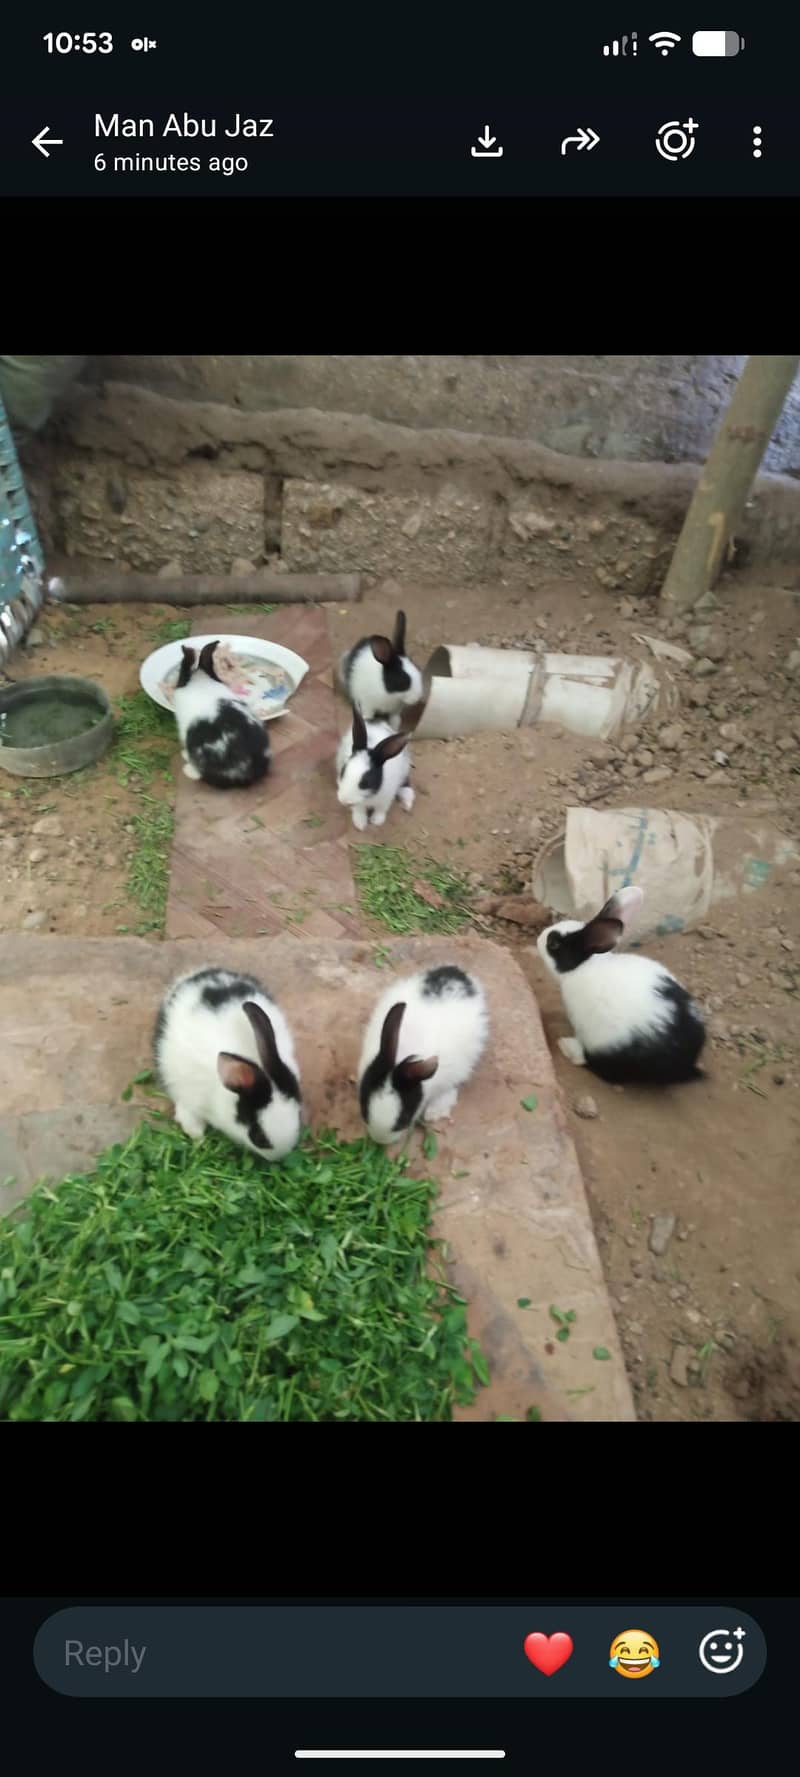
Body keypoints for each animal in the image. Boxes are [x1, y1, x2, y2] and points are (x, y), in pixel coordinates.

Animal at [154, 966, 302, 1159]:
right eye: (258, 1137)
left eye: (299, 1117)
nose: (279, 1158)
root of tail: (193, 976)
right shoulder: (191, 1101)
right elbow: (190, 1123)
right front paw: (200, 1143)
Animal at [358, 964, 488, 1144]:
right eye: (364, 1109)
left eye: (404, 1119)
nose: (380, 1140)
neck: (403, 1057)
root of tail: (458, 973)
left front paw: (433, 1114)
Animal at [536, 885, 706, 1085]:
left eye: (553, 944)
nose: (539, 938)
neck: (583, 966)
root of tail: (686, 1064)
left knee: (594, 1064)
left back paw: (567, 1046)